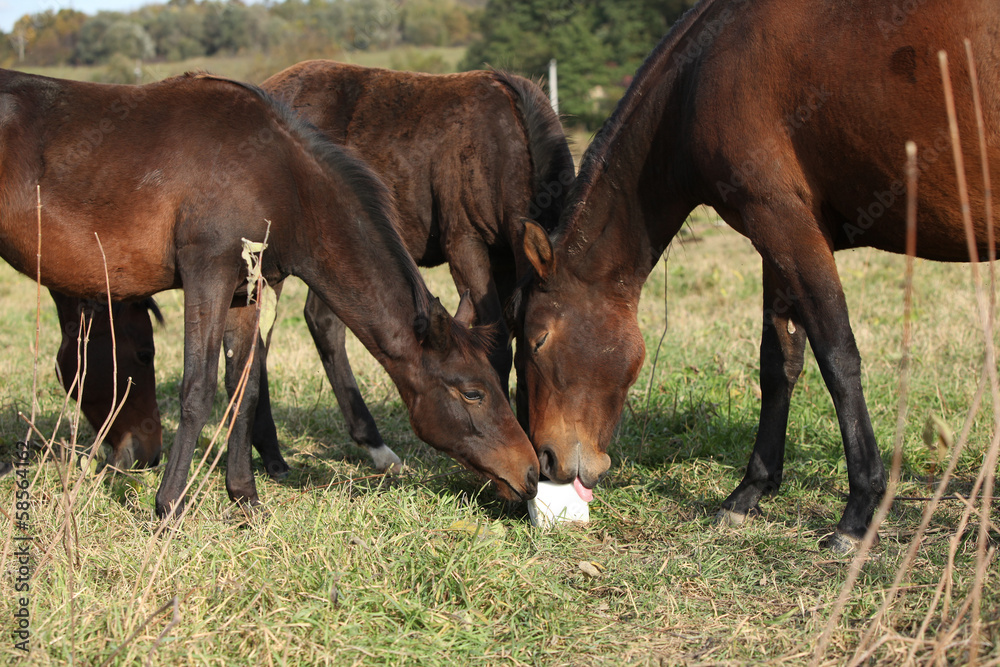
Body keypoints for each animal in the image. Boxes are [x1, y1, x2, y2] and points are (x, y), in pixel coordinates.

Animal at [246, 61, 574, 474]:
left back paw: (373, 446)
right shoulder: (465, 244)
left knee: (322, 322)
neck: (507, 141)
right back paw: (272, 452)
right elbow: (496, 347)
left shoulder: (506, 263)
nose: (551, 459)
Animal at [510, 0, 1000, 551]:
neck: (700, 77)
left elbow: (838, 359)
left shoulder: (787, 225)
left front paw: (859, 509)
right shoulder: (777, 242)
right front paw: (749, 492)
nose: (544, 461)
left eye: (538, 341)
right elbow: (779, 362)